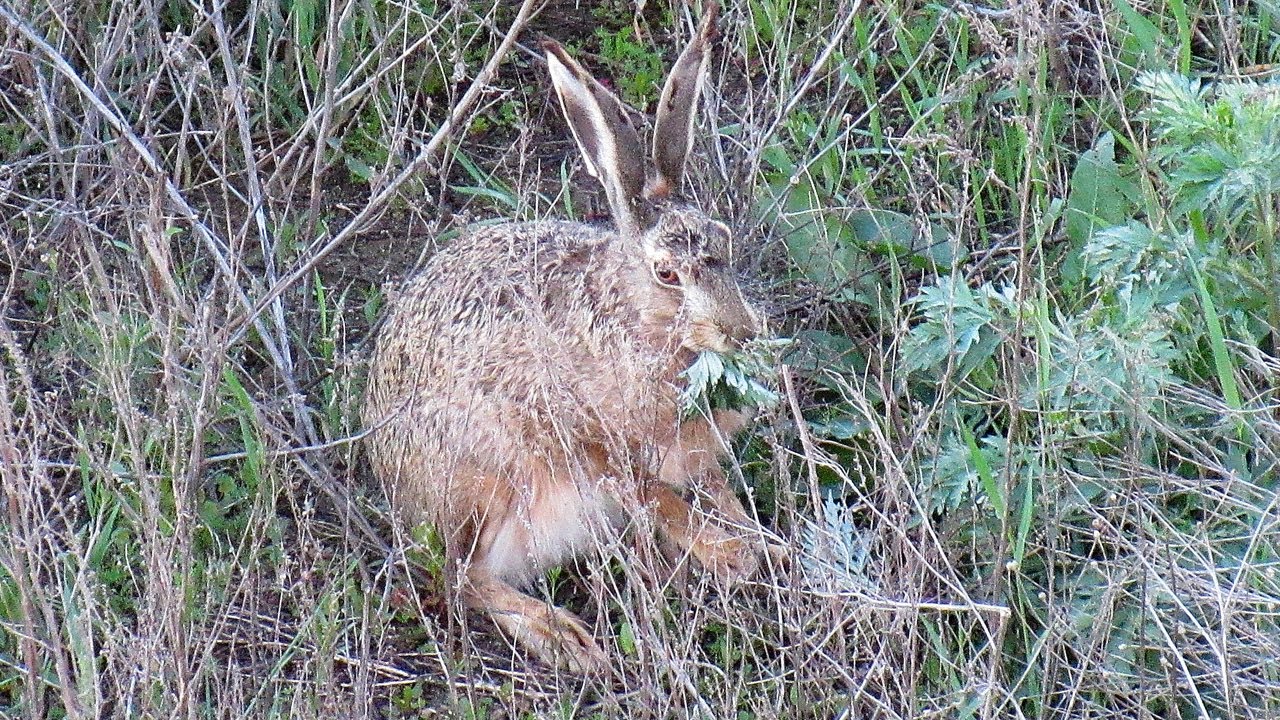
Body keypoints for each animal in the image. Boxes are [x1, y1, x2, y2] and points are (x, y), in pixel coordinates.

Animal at [362, 2, 772, 672]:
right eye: (667, 274)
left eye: (725, 241)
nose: (740, 331)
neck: (637, 320)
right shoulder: (596, 446)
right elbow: (656, 498)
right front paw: (731, 553)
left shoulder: (695, 456)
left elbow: (712, 492)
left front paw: (760, 543)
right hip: (485, 478)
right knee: (458, 579)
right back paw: (566, 640)